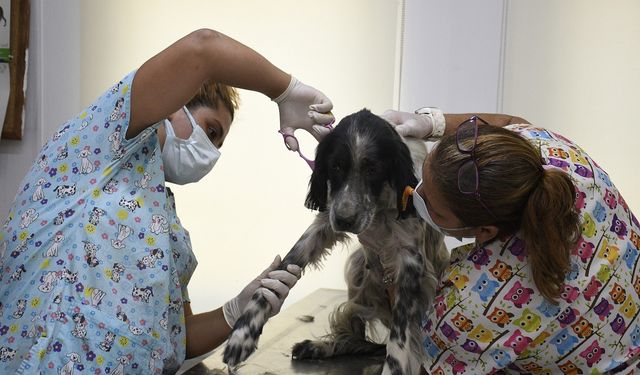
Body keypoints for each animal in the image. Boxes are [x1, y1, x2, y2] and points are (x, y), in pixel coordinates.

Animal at [225, 109, 450, 375]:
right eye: (336, 166)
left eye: (373, 169)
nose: (344, 220)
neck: (379, 207)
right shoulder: (323, 223)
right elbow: (277, 273)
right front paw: (242, 335)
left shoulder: (410, 259)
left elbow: (400, 337)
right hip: (358, 269)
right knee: (357, 334)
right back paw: (319, 348)